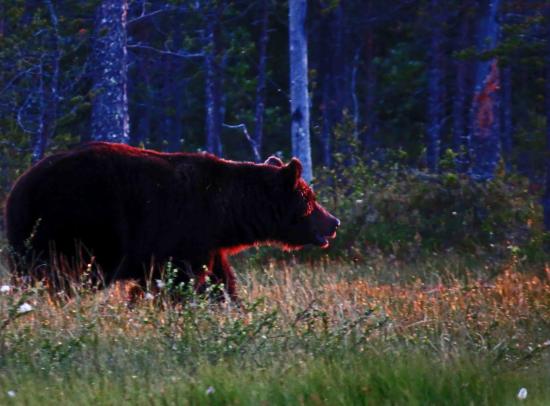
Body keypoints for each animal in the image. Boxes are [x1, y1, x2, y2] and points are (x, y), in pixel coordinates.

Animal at [4, 142, 340, 298]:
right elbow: (176, 281)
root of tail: (17, 189)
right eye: (310, 199)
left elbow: (221, 282)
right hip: (73, 225)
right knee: (60, 276)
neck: (226, 212)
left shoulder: (206, 244)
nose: (334, 222)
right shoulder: (182, 234)